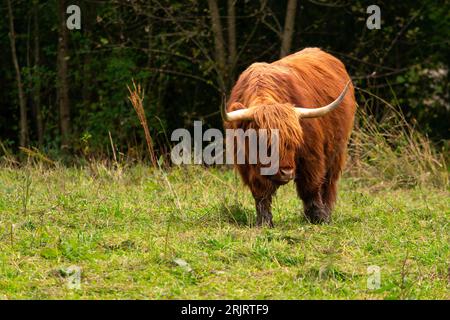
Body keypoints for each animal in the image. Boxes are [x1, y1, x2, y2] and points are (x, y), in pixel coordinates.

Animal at [223, 48, 356, 228]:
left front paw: (318, 217)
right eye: (265, 145)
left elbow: (310, 187)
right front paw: (264, 222)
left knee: (329, 182)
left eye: (293, 143)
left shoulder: (311, 156)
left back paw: (326, 213)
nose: (286, 172)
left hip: (337, 150)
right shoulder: (247, 163)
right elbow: (261, 193)